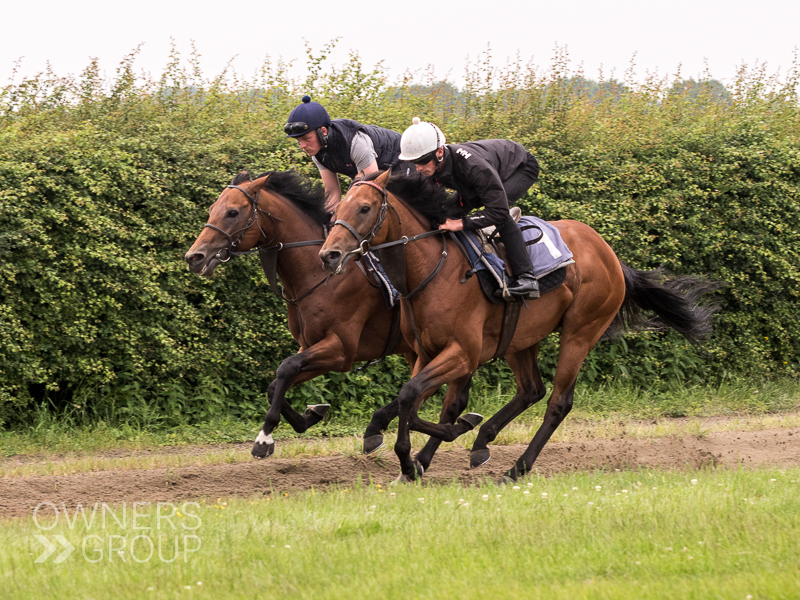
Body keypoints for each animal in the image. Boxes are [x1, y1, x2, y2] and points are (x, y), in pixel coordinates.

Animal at [184, 171, 482, 466]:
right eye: (212, 209)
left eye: (232, 212)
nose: (194, 257)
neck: (316, 273)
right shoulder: (310, 345)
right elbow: (275, 383)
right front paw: (310, 415)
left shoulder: (341, 350)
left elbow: (286, 368)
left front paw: (264, 438)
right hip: (419, 348)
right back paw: (379, 428)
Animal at [318, 169, 720, 482]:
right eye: (338, 208)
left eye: (365, 208)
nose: (329, 255)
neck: (430, 269)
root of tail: (610, 255)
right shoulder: (425, 352)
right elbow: (413, 401)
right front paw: (415, 456)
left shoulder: (463, 353)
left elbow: (415, 398)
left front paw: (426, 449)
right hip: (521, 338)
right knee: (531, 389)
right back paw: (482, 441)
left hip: (580, 332)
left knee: (558, 402)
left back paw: (517, 468)